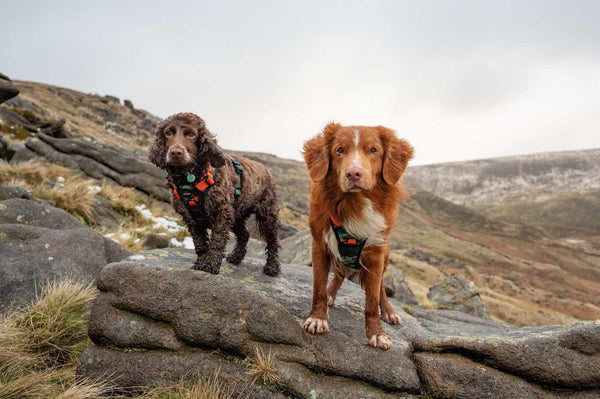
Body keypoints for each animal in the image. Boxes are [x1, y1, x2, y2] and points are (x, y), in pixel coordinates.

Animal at [150, 111, 282, 276]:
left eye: (191, 134)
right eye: (168, 133)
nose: (175, 153)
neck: (190, 180)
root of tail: (266, 170)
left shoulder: (221, 213)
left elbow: (217, 241)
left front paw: (211, 265)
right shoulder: (191, 218)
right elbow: (200, 244)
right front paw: (200, 263)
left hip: (266, 214)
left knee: (273, 241)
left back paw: (272, 267)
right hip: (236, 214)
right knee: (245, 234)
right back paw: (236, 257)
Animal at [302, 122, 414, 350]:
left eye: (373, 150)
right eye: (339, 150)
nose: (353, 174)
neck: (353, 204)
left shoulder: (375, 252)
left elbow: (372, 299)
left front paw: (377, 333)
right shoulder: (320, 244)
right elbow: (318, 288)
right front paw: (318, 318)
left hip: (385, 254)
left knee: (380, 287)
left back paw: (388, 311)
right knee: (338, 274)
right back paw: (331, 294)